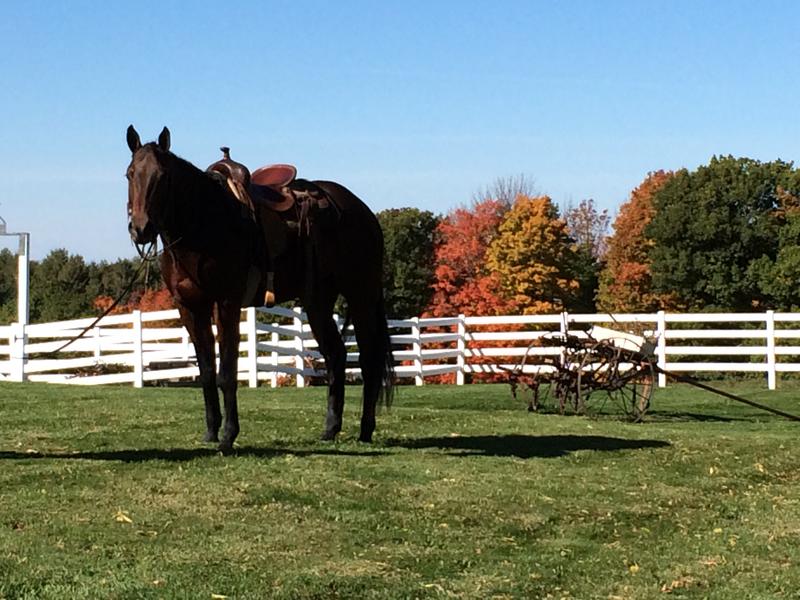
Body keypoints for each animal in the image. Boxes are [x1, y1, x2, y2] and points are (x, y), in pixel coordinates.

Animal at [125, 126, 393, 451]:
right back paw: (330, 429)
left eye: (162, 177)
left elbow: (227, 373)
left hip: (361, 294)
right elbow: (206, 372)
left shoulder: (226, 302)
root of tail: (363, 212)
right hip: (318, 302)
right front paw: (211, 431)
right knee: (336, 356)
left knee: (368, 359)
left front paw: (228, 437)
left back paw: (366, 429)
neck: (205, 223)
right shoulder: (189, 307)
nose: (141, 229)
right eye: (130, 174)